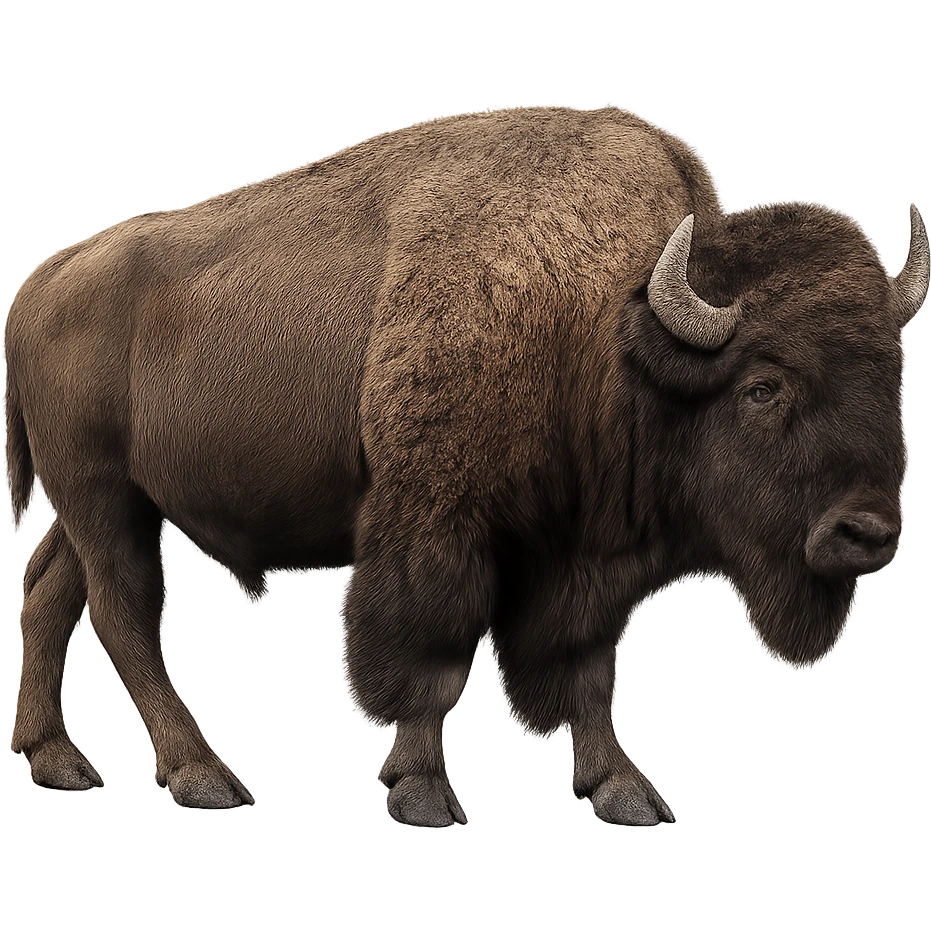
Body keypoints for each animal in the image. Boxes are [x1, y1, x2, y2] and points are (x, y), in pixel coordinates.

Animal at [4, 105, 927, 824]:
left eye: (891, 377)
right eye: (762, 386)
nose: (867, 532)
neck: (604, 325)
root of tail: (44, 278)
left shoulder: (580, 556)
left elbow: (587, 666)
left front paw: (622, 790)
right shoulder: (437, 526)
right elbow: (432, 652)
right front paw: (422, 792)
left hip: (104, 504)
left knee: (50, 589)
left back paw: (58, 761)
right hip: (103, 495)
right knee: (124, 612)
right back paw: (203, 776)